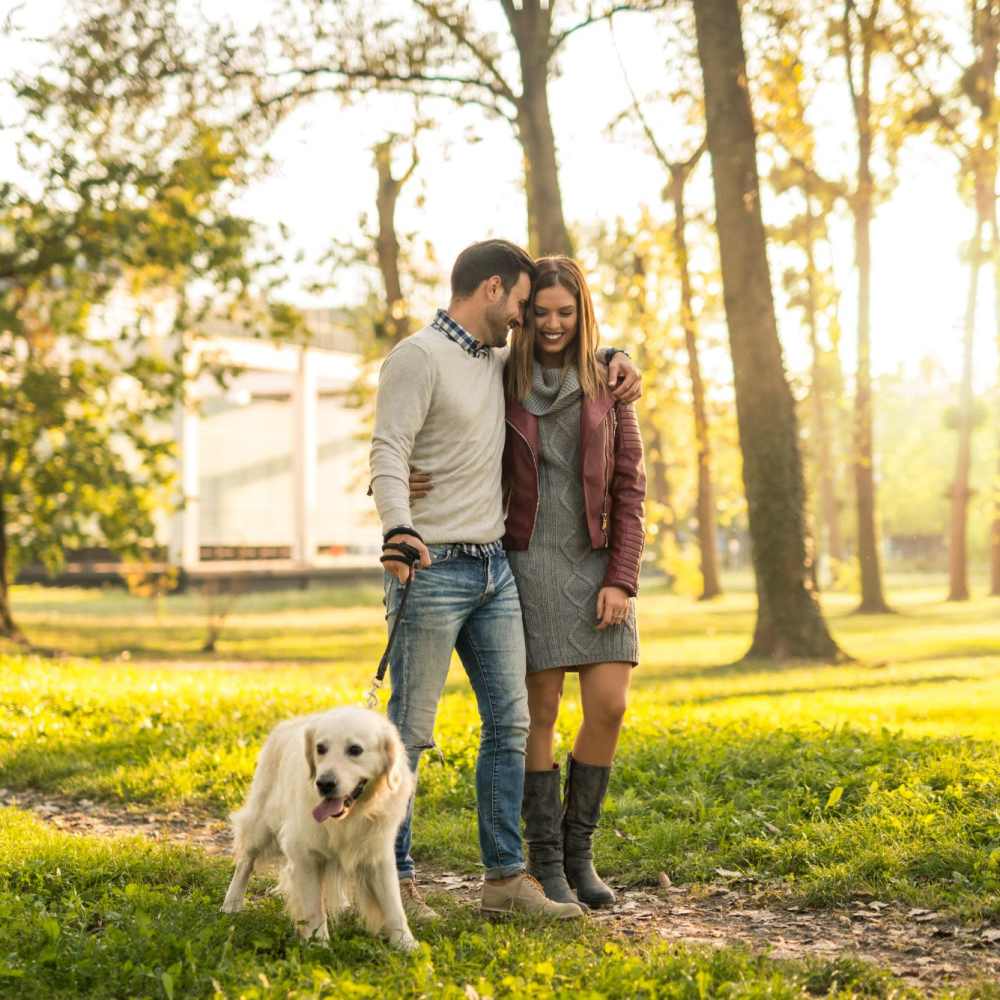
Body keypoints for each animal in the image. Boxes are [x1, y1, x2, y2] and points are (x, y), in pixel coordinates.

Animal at [221, 708, 416, 948]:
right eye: (320, 748)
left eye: (355, 750)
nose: (324, 784)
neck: (349, 817)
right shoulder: (305, 854)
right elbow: (314, 907)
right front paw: (318, 944)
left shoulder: (378, 854)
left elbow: (393, 905)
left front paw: (407, 944)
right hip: (261, 825)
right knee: (245, 862)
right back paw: (232, 903)